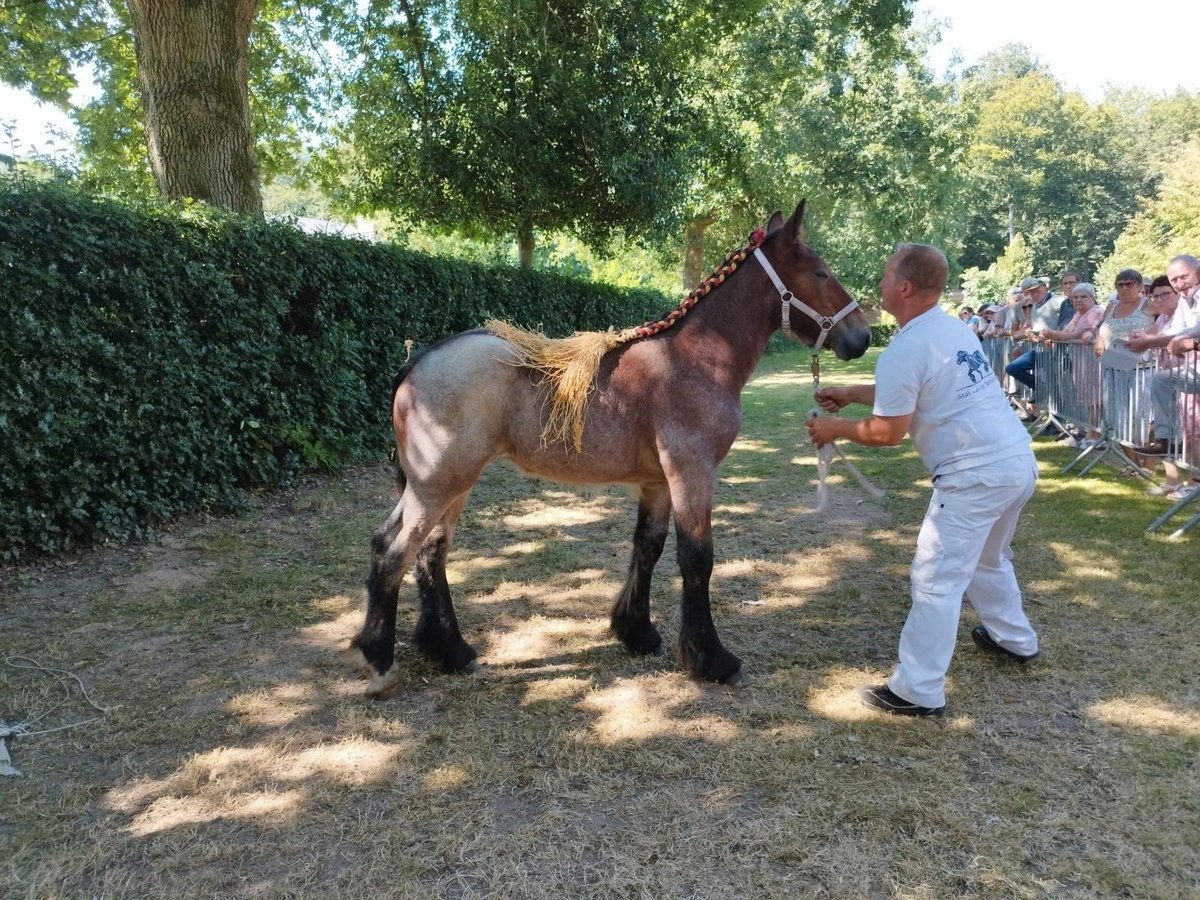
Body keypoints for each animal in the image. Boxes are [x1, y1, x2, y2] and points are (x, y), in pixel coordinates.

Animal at [350, 206, 868, 696]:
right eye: (820, 272)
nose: (862, 337)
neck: (695, 360)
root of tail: (418, 361)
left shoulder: (658, 483)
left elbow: (649, 547)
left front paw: (637, 633)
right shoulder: (692, 472)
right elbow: (697, 558)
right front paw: (713, 659)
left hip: (446, 486)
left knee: (428, 552)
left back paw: (451, 651)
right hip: (438, 484)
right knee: (394, 552)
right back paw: (380, 661)